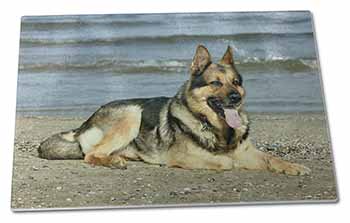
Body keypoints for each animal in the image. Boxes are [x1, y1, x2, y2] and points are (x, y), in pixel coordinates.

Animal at [39, 44, 312, 175]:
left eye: (236, 82)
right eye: (216, 83)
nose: (235, 98)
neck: (217, 128)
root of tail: (83, 125)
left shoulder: (249, 152)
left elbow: (272, 158)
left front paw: (293, 166)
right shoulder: (182, 156)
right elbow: (225, 162)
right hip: (132, 113)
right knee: (91, 154)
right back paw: (114, 161)